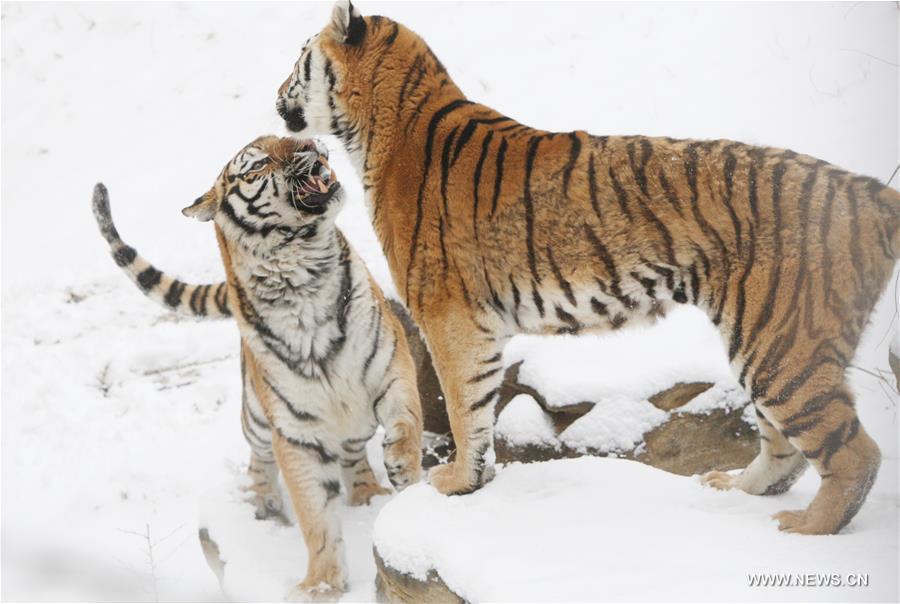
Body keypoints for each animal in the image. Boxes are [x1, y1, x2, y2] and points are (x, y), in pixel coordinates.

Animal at [91, 135, 423, 595]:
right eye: (258, 164)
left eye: (285, 137)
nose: (310, 140)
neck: (302, 279)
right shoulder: (296, 432)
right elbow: (314, 516)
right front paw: (321, 586)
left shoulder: (390, 368)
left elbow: (407, 417)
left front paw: (403, 466)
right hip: (257, 415)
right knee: (258, 456)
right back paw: (265, 501)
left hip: (353, 419)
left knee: (353, 451)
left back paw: (367, 492)